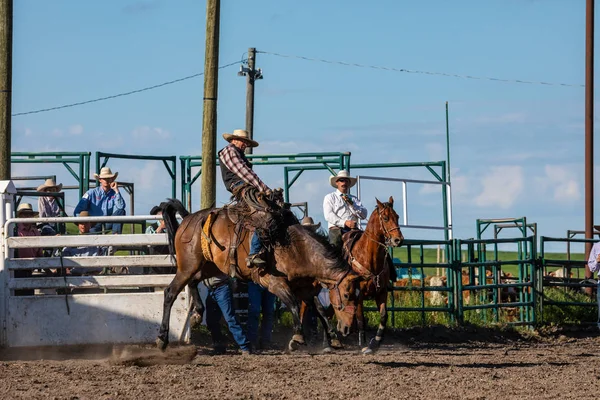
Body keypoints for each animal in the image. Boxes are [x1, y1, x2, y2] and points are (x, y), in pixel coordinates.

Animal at [156, 198, 360, 352]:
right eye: (347, 295)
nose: (348, 329)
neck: (295, 247)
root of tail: (188, 218)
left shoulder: (304, 288)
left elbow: (319, 309)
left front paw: (333, 338)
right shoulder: (275, 283)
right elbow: (294, 304)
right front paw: (298, 337)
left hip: (208, 267)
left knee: (193, 283)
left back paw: (197, 314)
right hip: (188, 266)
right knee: (170, 292)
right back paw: (162, 338)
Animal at [342, 195, 404, 354]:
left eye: (397, 216)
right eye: (385, 217)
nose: (398, 240)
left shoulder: (381, 291)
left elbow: (383, 316)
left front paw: (375, 342)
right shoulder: (358, 295)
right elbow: (361, 318)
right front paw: (363, 344)